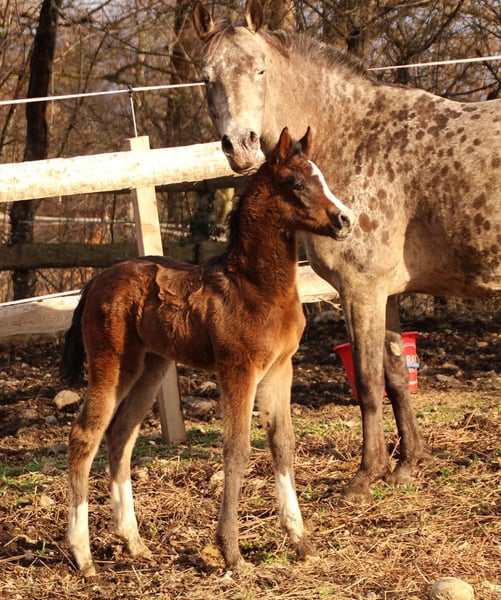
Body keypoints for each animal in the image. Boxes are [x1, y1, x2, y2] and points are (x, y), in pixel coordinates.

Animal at [61, 127, 355, 575]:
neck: (257, 288)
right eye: (297, 183)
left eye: (320, 176)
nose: (345, 220)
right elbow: (236, 448)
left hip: (150, 367)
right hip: (112, 363)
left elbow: (282, 443)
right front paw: (231, 552)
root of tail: (94, 281)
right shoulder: (238, 370)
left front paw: (302, 543)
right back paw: (83, 556)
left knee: (120, 435)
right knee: (84, 437)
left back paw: (134, 543)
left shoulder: (280, 368)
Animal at [192, 0, 501, 503]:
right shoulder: (386, 294)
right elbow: (395, 377)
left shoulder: (362, 289)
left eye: (260, 69)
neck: (355, 136)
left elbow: (370, 382)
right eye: (206, 77)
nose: (240, 146)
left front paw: (365, 475)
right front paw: (407, 464)